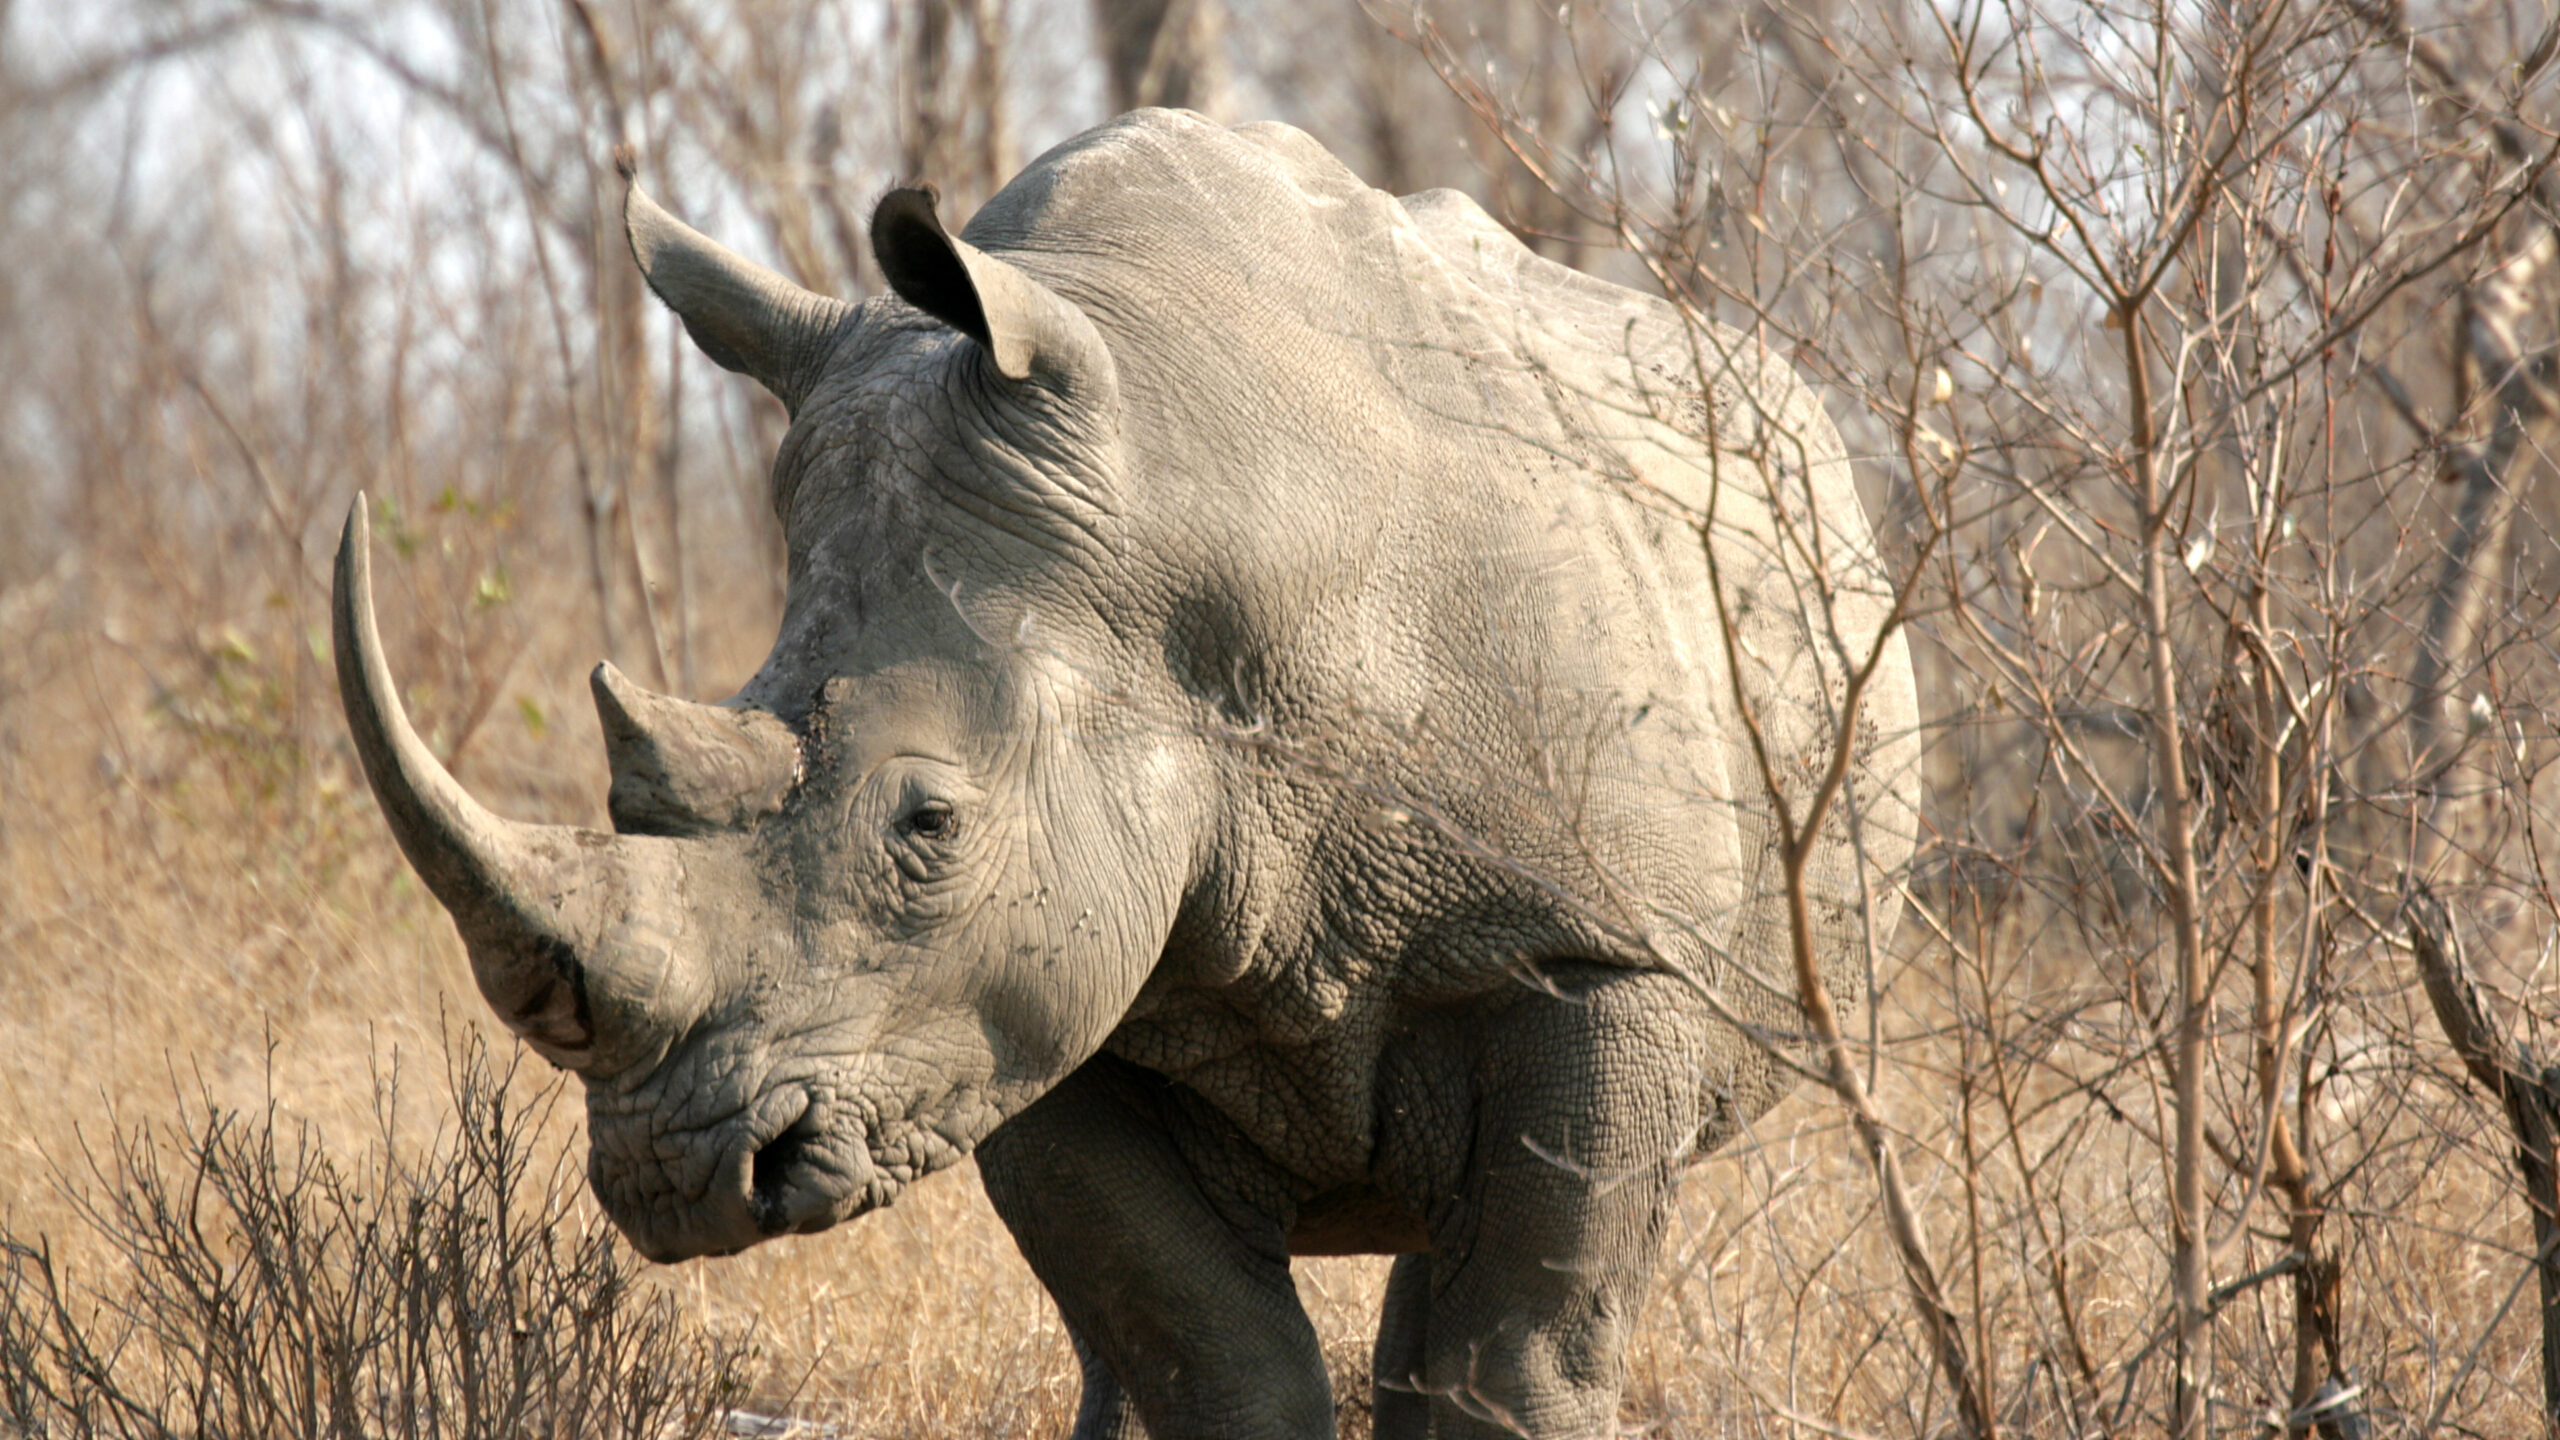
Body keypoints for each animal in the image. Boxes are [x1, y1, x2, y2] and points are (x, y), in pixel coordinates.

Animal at [333, 109, 1918, 1438]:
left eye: (928, 822)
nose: (680, 1177)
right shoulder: (1018, 998)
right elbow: (1208, 1355)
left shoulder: (1598, 948)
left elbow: (1515, 1364)